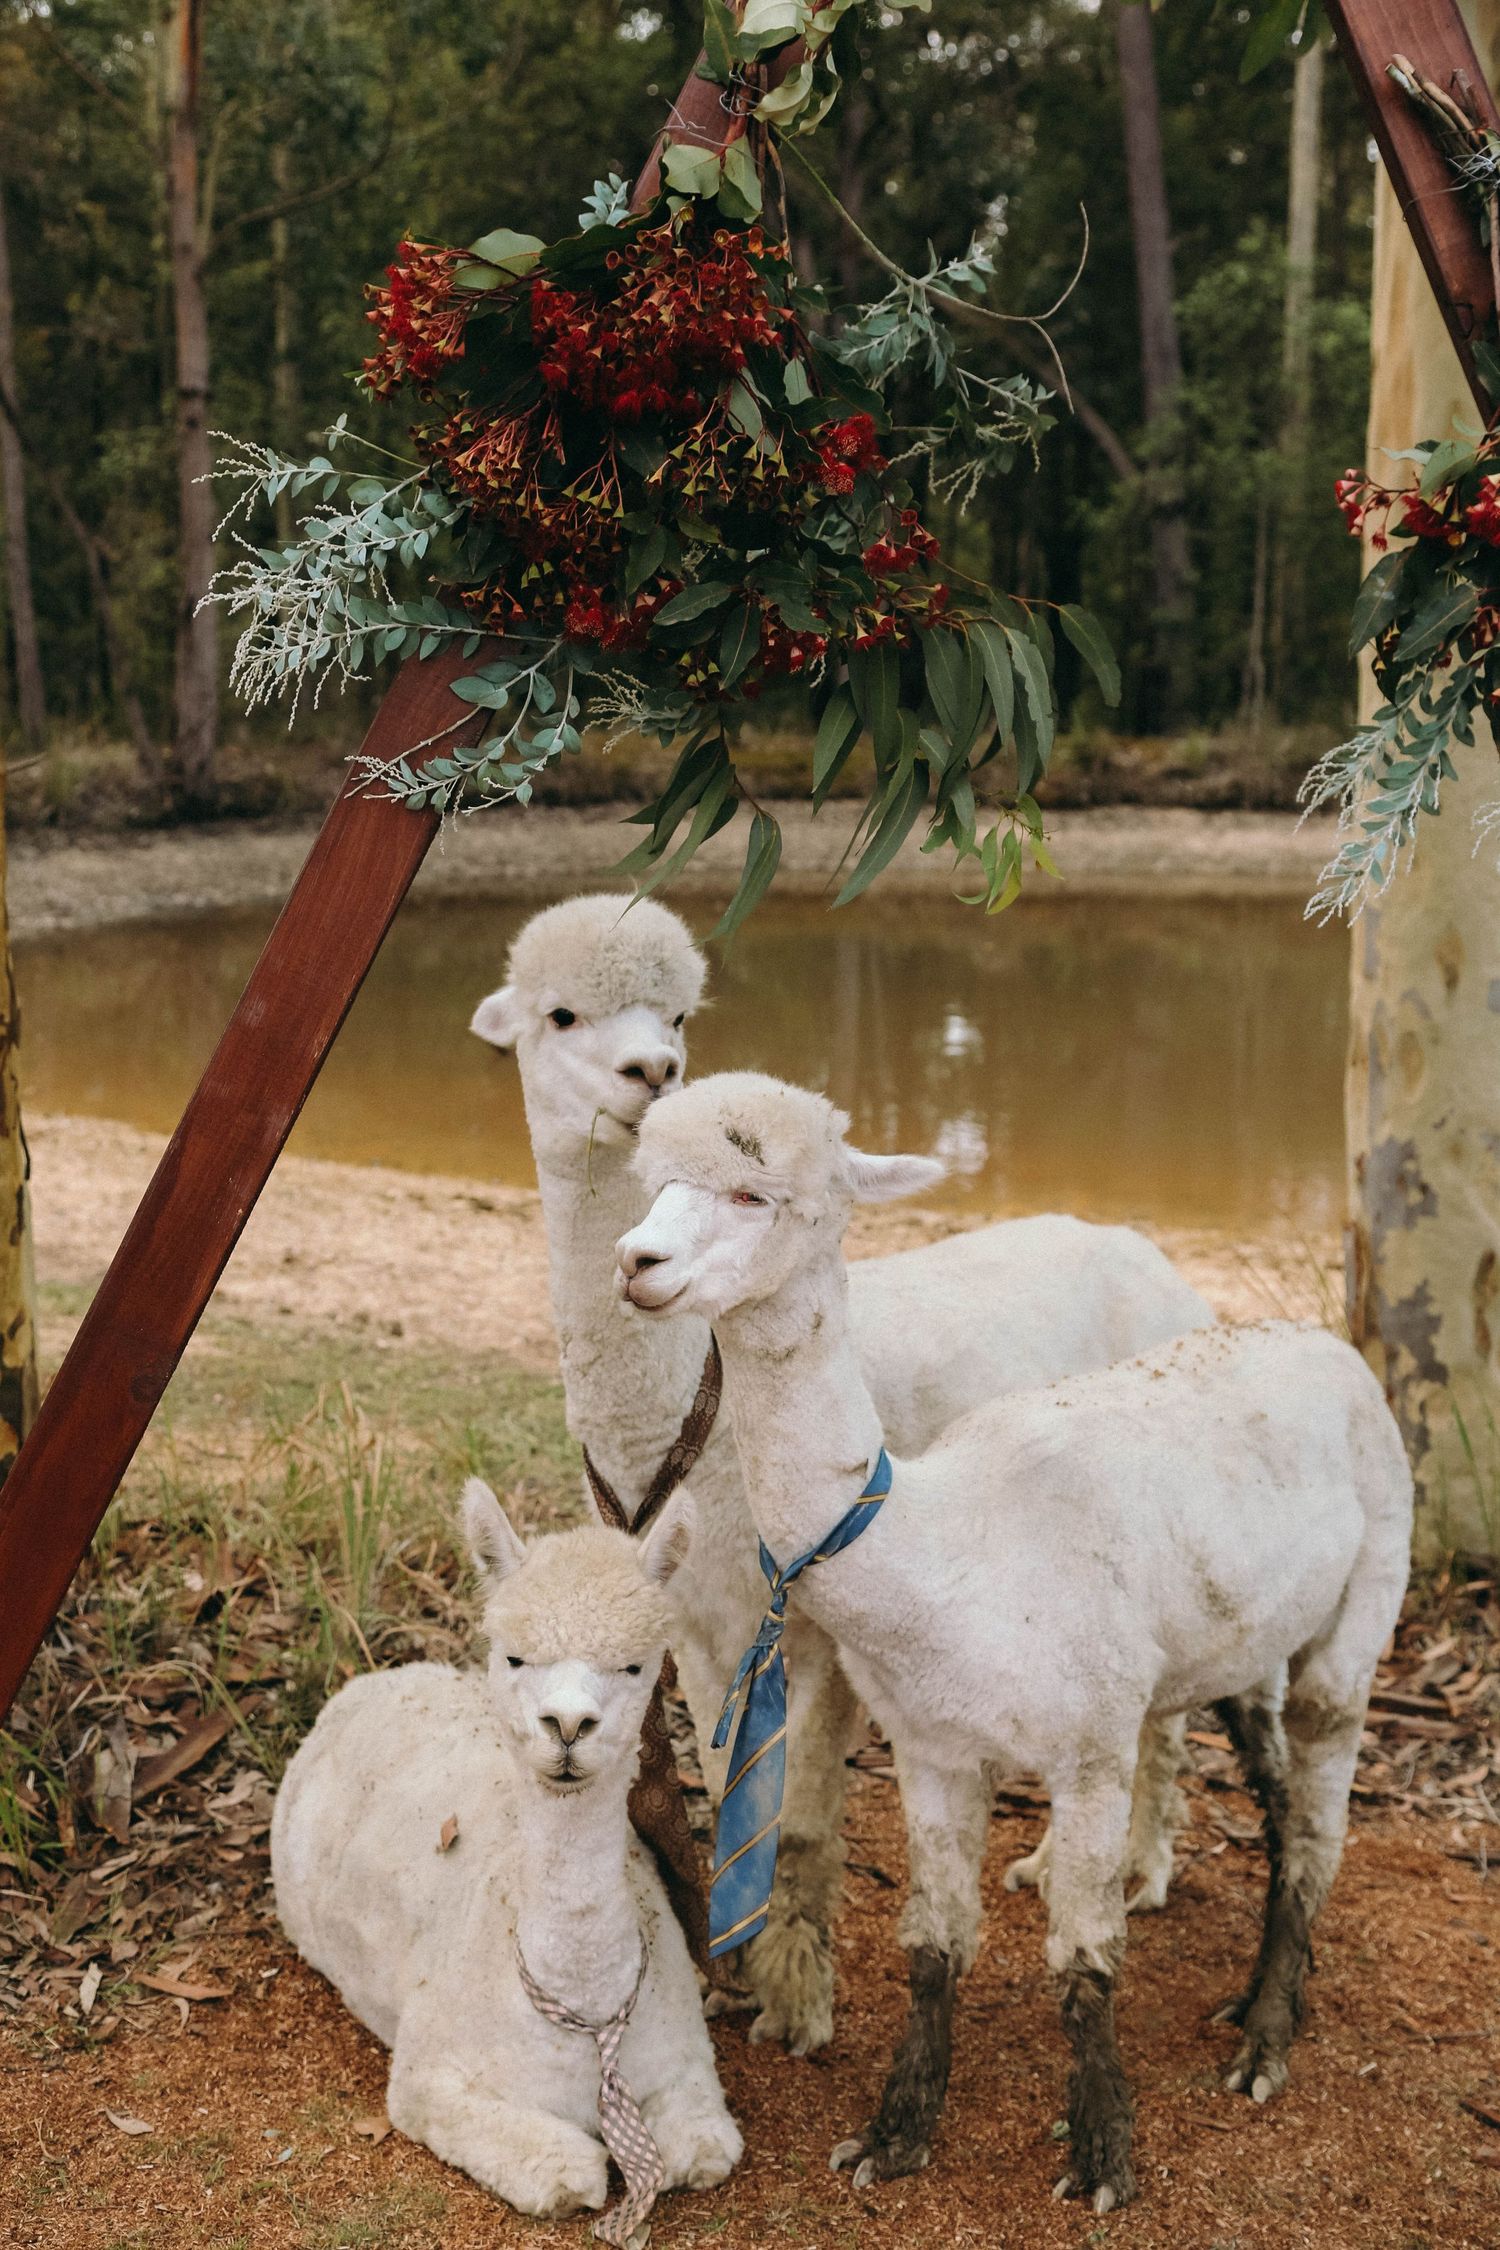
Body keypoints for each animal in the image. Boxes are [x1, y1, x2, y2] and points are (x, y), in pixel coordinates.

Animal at [270, 1480, 742, 2233]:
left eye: (634, 1664)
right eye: (515, 1657)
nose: (569, 1724)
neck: (586, 2023)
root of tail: (379, 1678)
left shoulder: (686, 2061)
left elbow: (704, 2149)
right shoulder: (429, 2078)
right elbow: (567, 2171)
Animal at [470, 896, 1214, 2053]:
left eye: (679, 1015)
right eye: (561, 1015)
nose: (653, 1070)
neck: (687, 1426)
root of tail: (1152, 1255)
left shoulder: (807, 1626)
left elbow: (805, 1821)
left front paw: (795, 1995)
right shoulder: (704, 1622)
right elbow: (728, 1783)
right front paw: (735, 1974)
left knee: (1163, 1713)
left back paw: (1135, 1869)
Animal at [616, 1071, 1414, 2214]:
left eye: (753, 1194)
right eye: (651, 1182)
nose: (636, 1263)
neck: (947, 1551)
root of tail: (1327, 1344)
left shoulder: (1085, 1746)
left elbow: (1082, 1961)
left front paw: (1102, 2155)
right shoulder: (934, 1748)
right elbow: (933, 1944)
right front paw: (893, 2137)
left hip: (1371, 1585)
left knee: (1316, 1812)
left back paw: (1265, 2039)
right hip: (1230, 1637)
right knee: (1261, 1767)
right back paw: (1254, 1990)